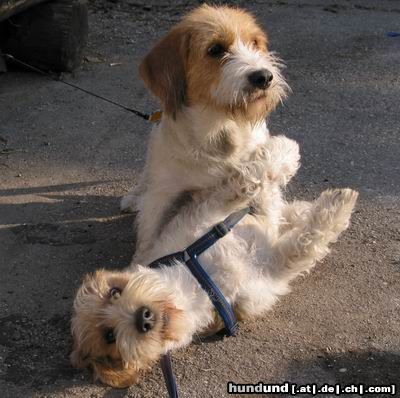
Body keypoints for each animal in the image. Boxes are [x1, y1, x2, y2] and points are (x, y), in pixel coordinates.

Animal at [69, 3, 360, 388]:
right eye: (216, 50)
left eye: (255, 43)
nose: (263, 77)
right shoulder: (181, 200)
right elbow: (292, 230)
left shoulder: (225, 201)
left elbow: (259, 181)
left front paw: (283, 155)